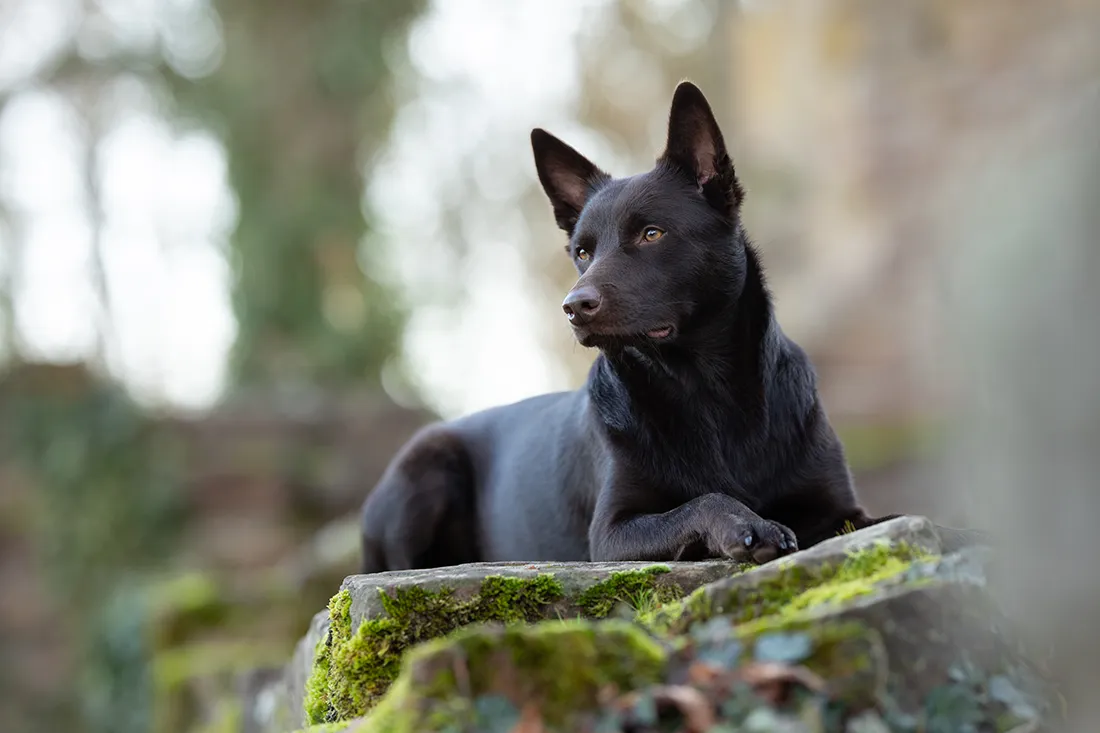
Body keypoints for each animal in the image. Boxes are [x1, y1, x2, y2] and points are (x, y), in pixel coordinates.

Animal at [358, 79, 981, 572]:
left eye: (651, 234)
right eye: (582, 252)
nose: (573, 306)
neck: (710, 394)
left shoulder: (843, 512)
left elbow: (904, 518)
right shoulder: (611, 534)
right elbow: (699, 502)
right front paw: (745, 524)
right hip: (425, 470)